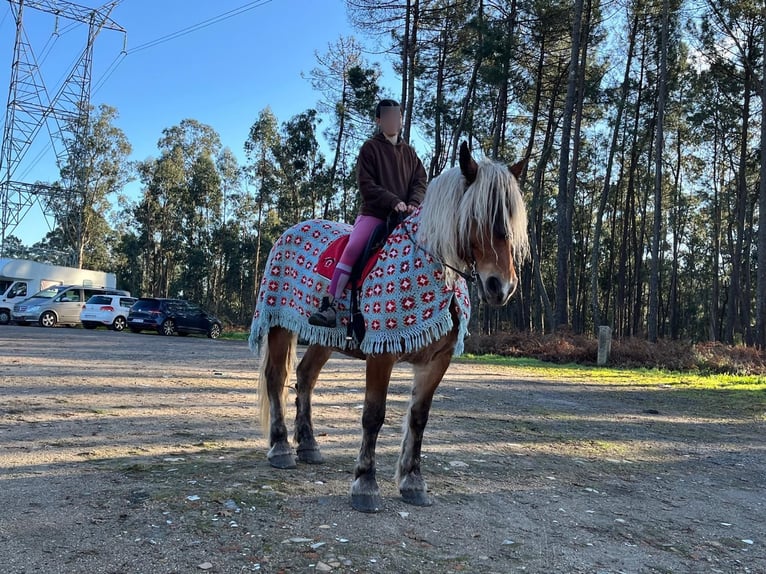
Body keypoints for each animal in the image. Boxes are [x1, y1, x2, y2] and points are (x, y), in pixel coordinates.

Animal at [249, 141, 529, 512]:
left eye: (511, 220)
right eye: (476, 216)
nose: (502, 286)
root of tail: (288, 232)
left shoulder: (437, 361)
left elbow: (419, 417)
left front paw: (413, 481)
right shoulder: (381, 354)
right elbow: (373, 415)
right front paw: (365, 483)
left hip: (326, 339)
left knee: (305, 377)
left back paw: (308, 445)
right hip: (280, 324)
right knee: (276, 378)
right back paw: (280, 447)